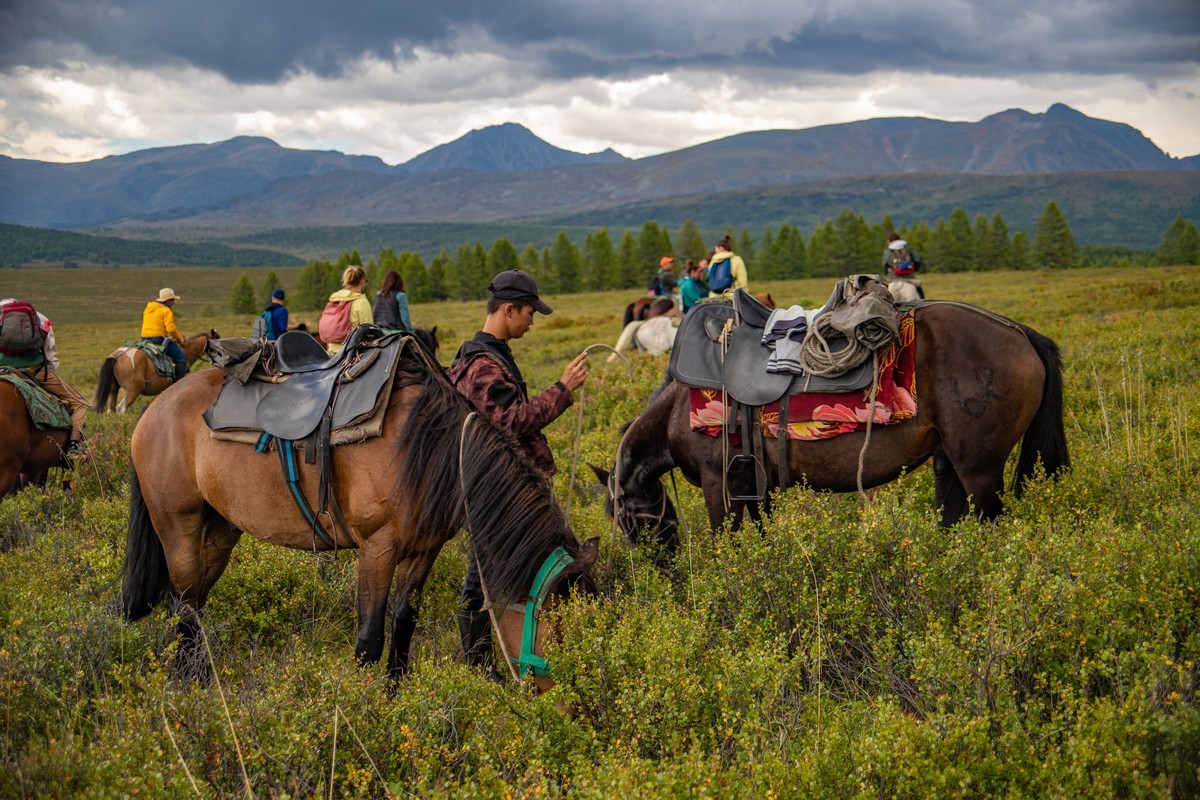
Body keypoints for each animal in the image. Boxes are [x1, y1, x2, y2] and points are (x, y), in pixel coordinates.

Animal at [121, 340, 600, 690]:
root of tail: (155, 410)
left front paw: (395, 693)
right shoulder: (377, 549)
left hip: (220, 530)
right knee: (184, 607)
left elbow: (404, 623)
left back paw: (197, 680)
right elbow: (369, 639)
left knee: (192, 607)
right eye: (561, 629)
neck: (429, 449)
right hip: (178, 527)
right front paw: (369, 706)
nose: (575, 697)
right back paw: (188, 686)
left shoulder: (423, 550)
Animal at [597, 302, 1070, 544]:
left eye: (627, 517)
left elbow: (725, 546)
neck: (678, 406)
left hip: (980, 469)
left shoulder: (720, 484)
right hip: (948, 463)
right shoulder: (754, 485)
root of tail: (1020, 331)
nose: (664, 567)